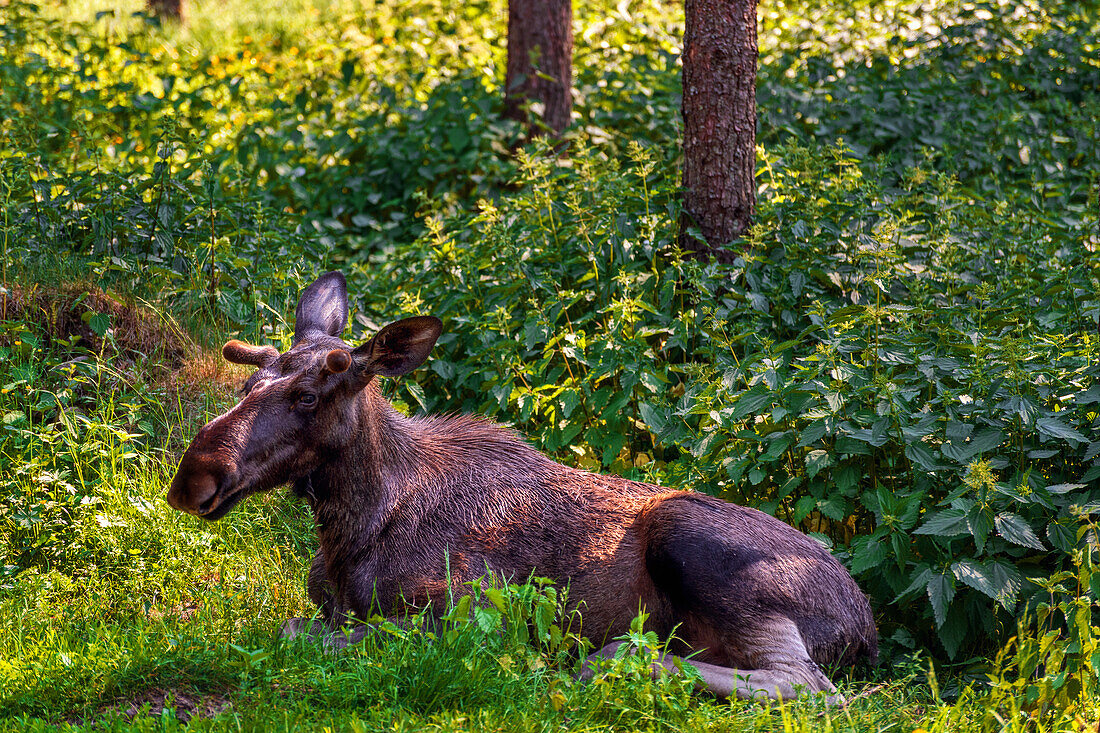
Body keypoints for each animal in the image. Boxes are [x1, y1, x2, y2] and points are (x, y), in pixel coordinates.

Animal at [167, 270, 875, 699]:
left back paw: (610, 659)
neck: (353, 526)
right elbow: (302, 624)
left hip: (694, 540)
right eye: (247, 382)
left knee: (807, 685)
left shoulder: (474, 610)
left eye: (309, 396)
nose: (193, 477)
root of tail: (865, 625)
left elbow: (314, 635)